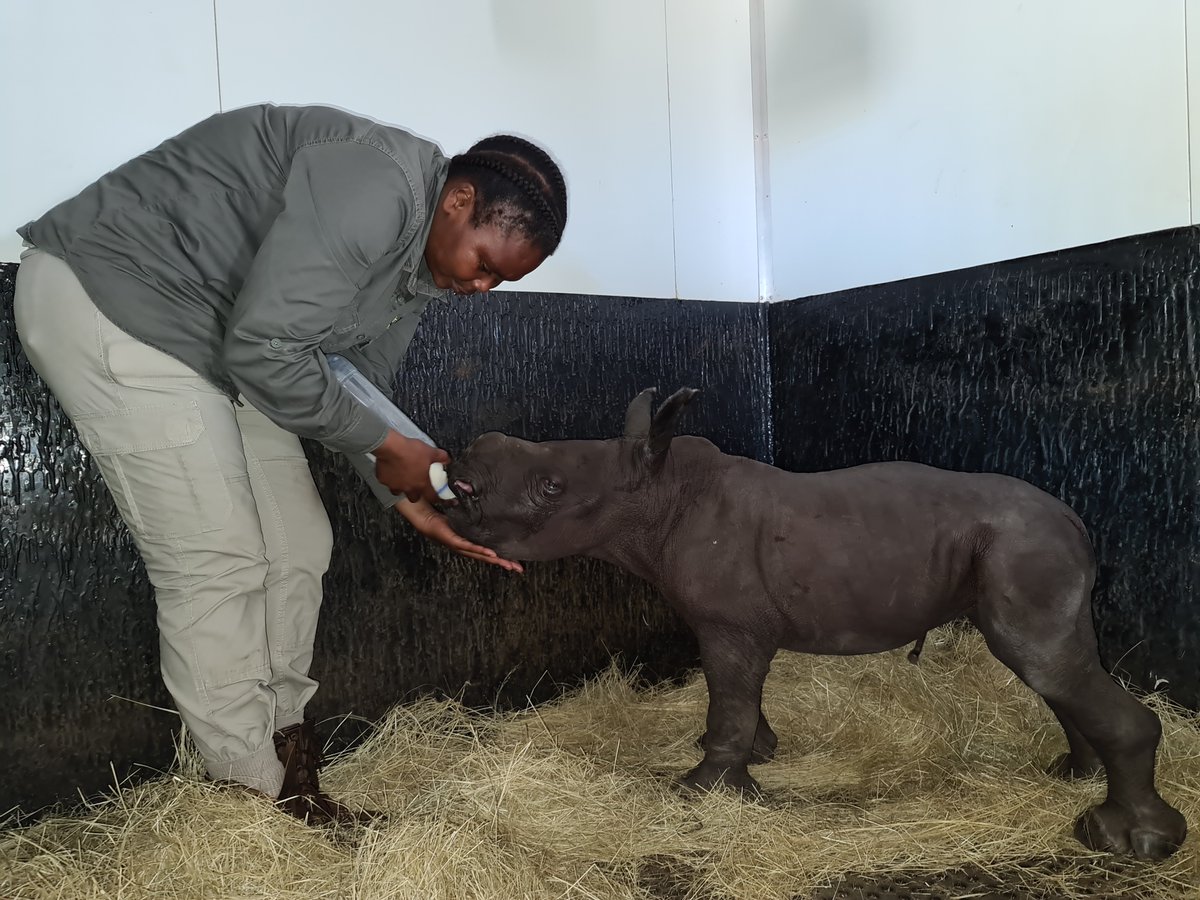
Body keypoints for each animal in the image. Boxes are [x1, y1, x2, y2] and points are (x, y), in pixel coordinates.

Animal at [441, 388, 1186, 860]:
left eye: (551, 489)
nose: (467, 455)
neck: (658, 491)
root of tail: (1074, 519)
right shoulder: (737, 625)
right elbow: (739, 696)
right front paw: (760, 755)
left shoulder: (730, 624)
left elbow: (728, 701)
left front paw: (704, 790)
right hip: (1025, 547)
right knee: (1056, 667)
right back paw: (1072, 775)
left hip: (1024, 546)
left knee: (1044, 661)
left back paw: (1126, 842)